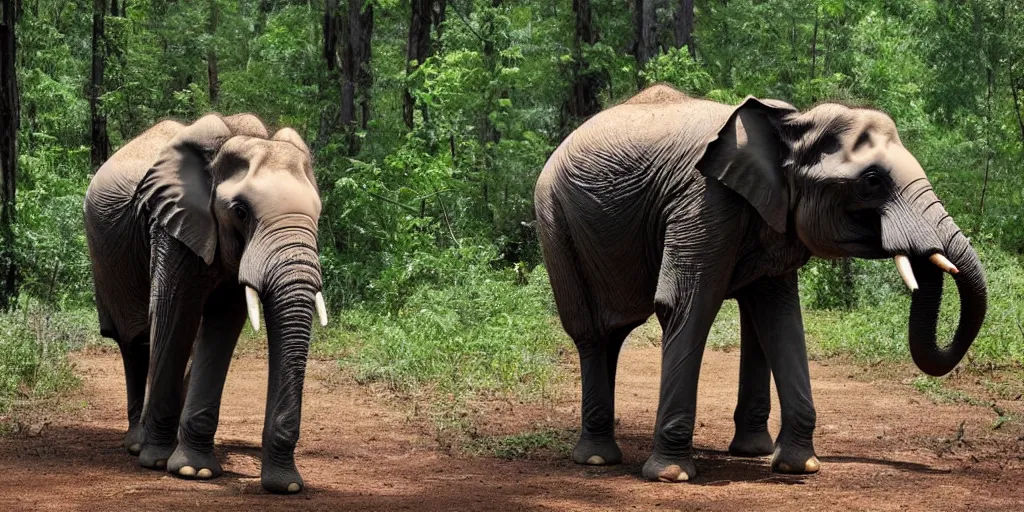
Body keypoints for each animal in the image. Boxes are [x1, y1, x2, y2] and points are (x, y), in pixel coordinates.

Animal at [82, 113, 327, 491]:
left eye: (318, 213)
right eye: (240, 211)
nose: (286, 485)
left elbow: (221, 326)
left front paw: (194, 470)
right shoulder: (171, 223)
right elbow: (173, 314)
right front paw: (165, 464)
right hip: (107, 263)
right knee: (135, 340)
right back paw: (138, 445)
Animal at [532, 84, 987, 483]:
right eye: (872, 181)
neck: (792, 126)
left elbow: (778, 316)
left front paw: (798, 467)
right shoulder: (703, 201)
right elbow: (685, 304)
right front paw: (671, 475)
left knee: (614, 335)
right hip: (555, 222)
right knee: (591, 333)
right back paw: (596, 459)